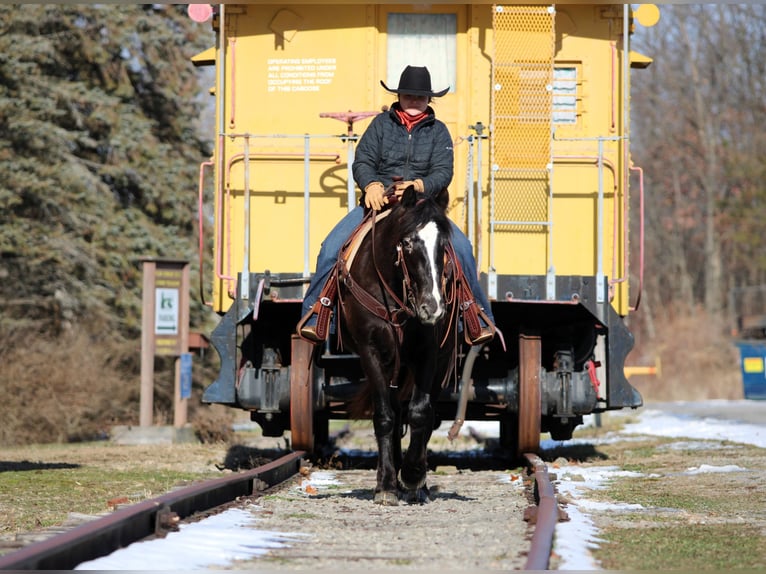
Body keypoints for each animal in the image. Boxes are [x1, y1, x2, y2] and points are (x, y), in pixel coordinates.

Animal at [336, 185, 458, 505]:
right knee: (393, 410)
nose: (433, 307)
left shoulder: (429, 353)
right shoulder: (371, 351)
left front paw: (414, 476)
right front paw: (387, 486)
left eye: (444, 244)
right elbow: (384, 416)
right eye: (407, 242)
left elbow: (420, 413)